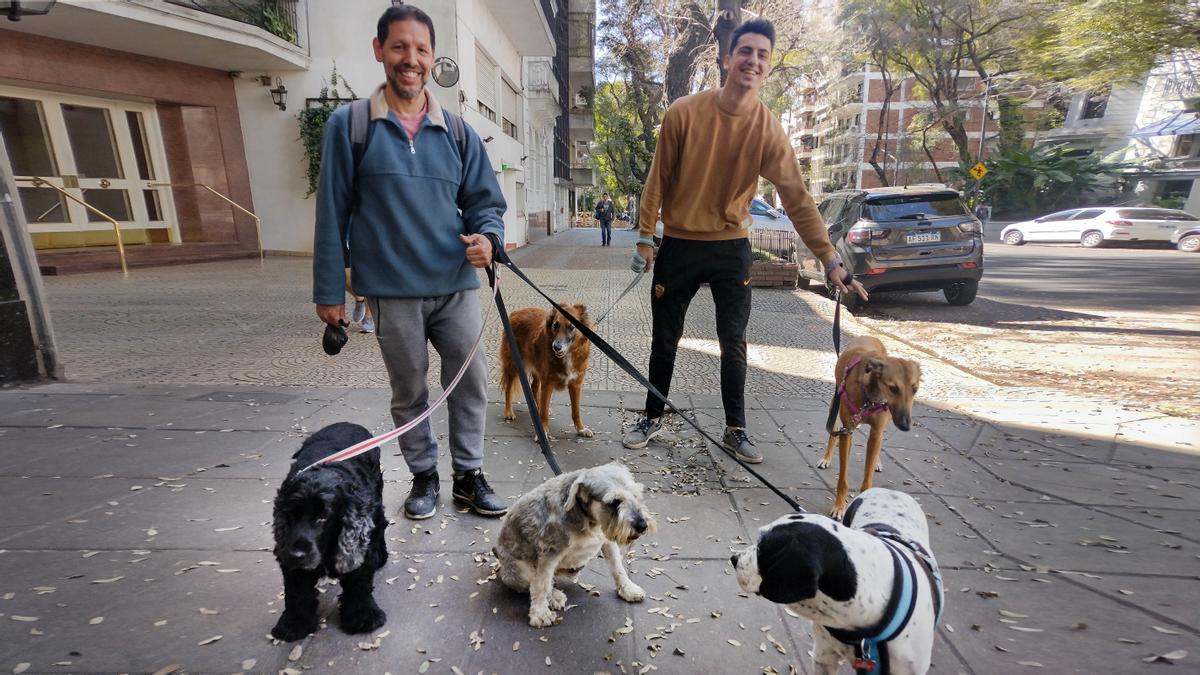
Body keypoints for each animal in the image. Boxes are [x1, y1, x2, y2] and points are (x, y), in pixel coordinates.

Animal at [492, 461, 657, 624]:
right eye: (614, 502)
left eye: (636, 494)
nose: (642, 525)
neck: (589, 520)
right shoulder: (550, 552)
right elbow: (542, 585)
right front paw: (540, 614)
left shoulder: (607, 541)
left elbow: (618, 567)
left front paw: (628, 589)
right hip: (519, 571)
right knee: (534, 583)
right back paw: (555, 596)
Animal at [499, 302, 592, 439]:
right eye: (555, 325)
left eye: (571, 327)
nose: (556, 347)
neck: (567, 355)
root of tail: (515, 313)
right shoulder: (548, 383)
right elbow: (543, 412)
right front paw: (543, 432)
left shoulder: (576, 385)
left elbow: (576, 411)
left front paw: (581, 429)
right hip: (514, 365)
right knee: (508, 388)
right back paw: (508, 411)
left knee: (534, 387)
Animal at [820, 333, 921, 514]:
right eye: (893, 388)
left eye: (915, 389)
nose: (905, 425)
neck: (870, 397)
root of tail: (868, 335)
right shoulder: (847, 430)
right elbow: (842, 478)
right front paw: (839, 506)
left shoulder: (876, 432)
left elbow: (867, 478)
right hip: (836, 407)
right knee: (834, 435)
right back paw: (826, 458)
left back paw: (877, 462)